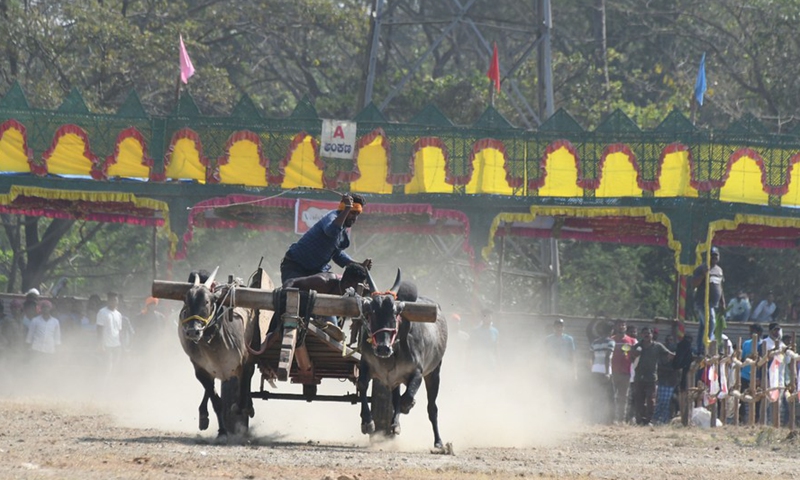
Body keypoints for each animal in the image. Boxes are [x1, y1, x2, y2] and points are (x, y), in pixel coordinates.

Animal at [358, 270, 446, 450]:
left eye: (395, 313)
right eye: (371, 313)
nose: (383, 348)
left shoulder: (417, 372)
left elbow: (407, 398)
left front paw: (408, 406)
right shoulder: (366, 364)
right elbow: (362, 385)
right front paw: (367, 423)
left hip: (434, 372)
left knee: (432, 408)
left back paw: (438, 442)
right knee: (396, 398)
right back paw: (394, 426)